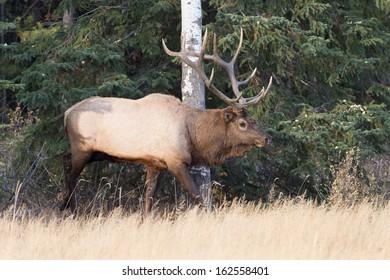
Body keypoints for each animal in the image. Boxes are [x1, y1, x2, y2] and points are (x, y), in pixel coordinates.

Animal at [62, 28, 272, 215]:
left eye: (253, 119)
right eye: (242, 124)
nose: (266, 138)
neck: (194, 137)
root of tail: (66, 113)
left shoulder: (155, 163)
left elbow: (148, 202)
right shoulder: (175, 161)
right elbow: (200, 200)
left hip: (97, 152)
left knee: (65, 162)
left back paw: (63, 207)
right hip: (82, 147)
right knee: (72, 176)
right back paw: (74, 212)